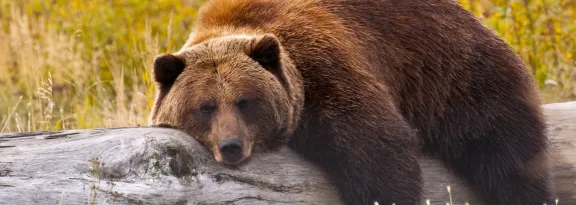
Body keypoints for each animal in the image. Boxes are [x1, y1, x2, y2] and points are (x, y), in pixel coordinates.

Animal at [147, 0, 552, 205]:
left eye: (246, 101)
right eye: (205, 106)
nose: (231, 145)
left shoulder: (325, 68)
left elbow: (377, 148)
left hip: (459, 79)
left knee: (507, 156)